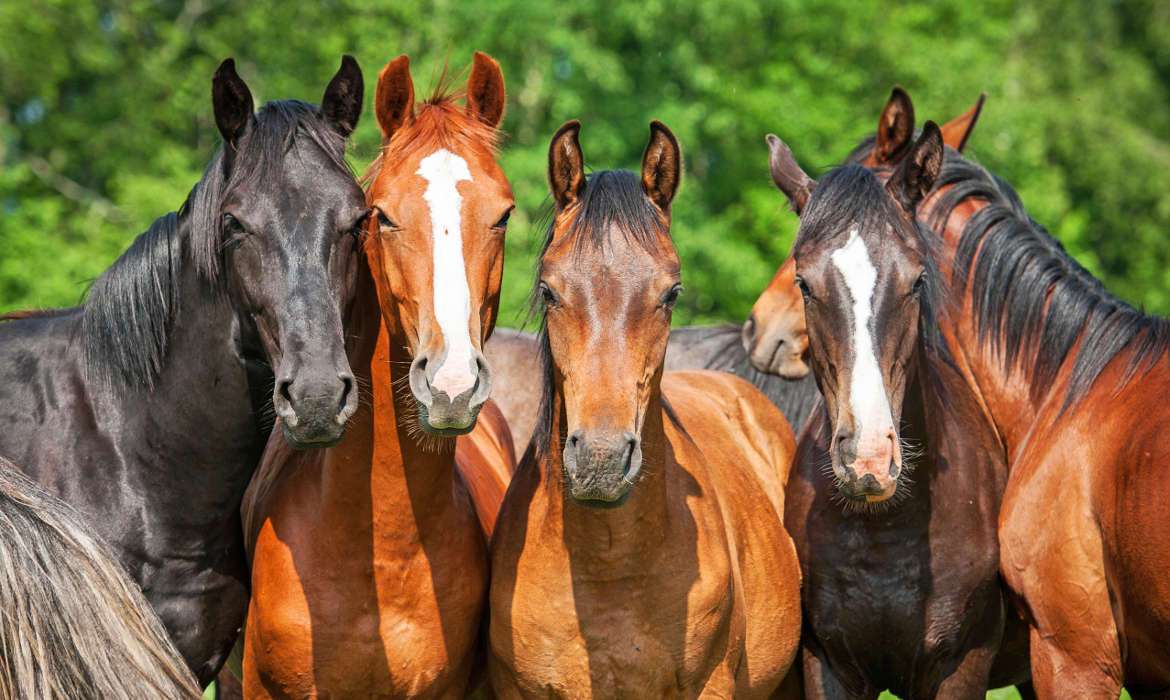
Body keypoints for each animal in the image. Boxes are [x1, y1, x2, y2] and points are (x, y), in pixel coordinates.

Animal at [769, 118, 1031, 698]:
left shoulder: (960, 665)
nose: (868, 458)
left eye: (917, 279)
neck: (886, 530)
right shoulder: (826, 662)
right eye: (805, 283)